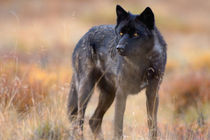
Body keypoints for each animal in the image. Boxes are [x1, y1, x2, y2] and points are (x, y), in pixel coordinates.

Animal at [67, 4, 166, 140]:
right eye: (121, 33)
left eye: (136, 34)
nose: (119, 48)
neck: (141, 64)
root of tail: (85, 35)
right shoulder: (121, 93)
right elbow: (118, 126)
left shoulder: (152, 92)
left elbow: (152, 124)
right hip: (86, 90)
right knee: (79, 121)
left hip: (108, 94)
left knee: (93, 120)